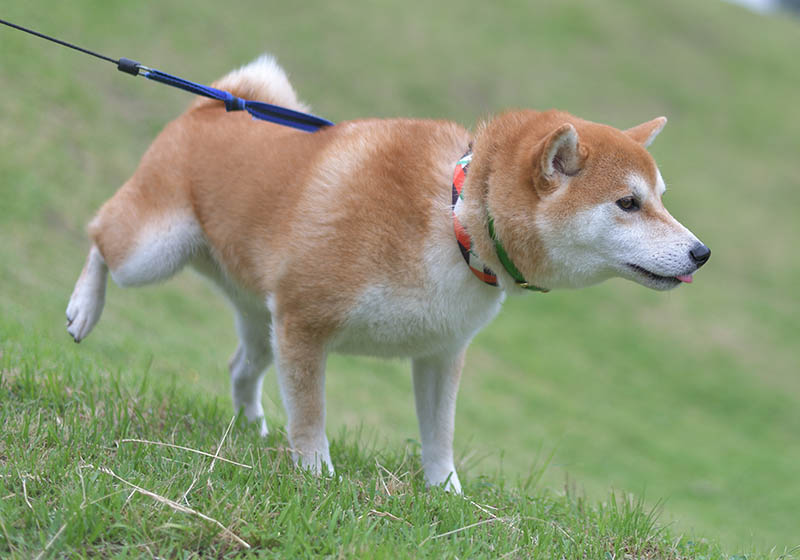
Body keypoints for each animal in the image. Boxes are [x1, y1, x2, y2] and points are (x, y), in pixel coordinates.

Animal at [65, 54, 708, 492]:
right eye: (628, 203)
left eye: (660, 198)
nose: (702, 253)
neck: (453, 221)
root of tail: (217, 102)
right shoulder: (306, 322)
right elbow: (312, 415)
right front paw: (315, 474)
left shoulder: (440, 353)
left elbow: (440, 436)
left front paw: (447, 494)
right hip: (154, 253)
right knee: (99, 235)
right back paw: (83, 308)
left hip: (262, 319)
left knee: (241, 366)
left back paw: (252, 426)